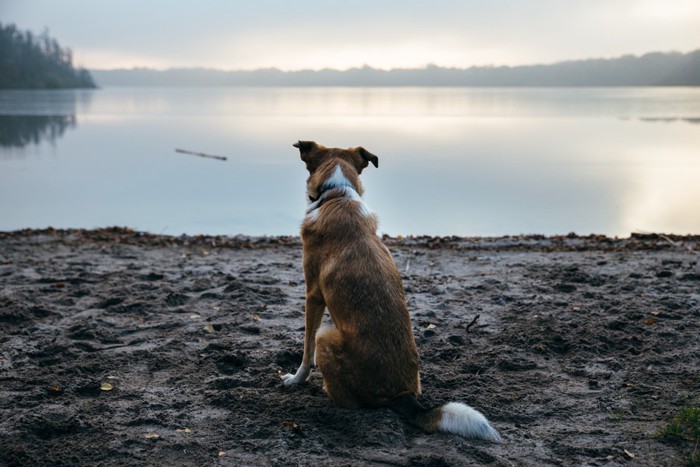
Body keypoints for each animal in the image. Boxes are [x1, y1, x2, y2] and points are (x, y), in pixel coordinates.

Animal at [282, 142, 500, 442]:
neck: (336, 193)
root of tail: (403, 397)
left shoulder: (313, 295)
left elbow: (306, 350)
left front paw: (296, 379)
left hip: (327, 335)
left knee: (350, 402)